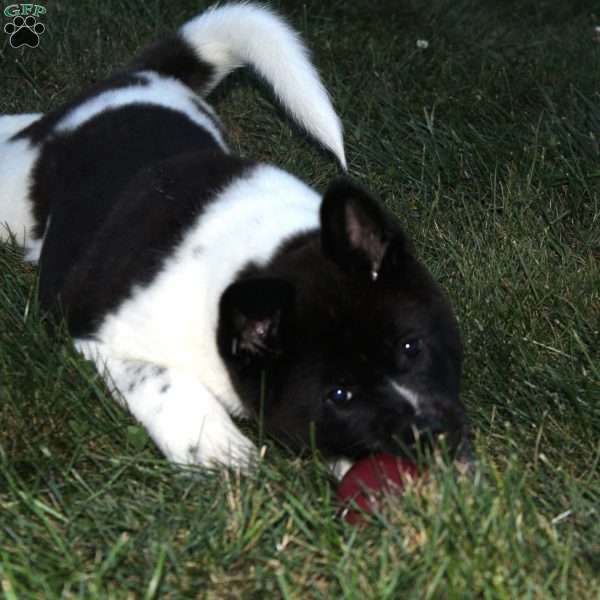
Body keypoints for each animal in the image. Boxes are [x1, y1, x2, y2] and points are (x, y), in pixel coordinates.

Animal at [0, 3, 466, 474]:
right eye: (340, 396)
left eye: (412, 347)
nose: (431, 438)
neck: (268, 253)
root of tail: (146, 76)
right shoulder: (97, 333)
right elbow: (160, 379)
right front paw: (215, 447)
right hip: (13, 200)